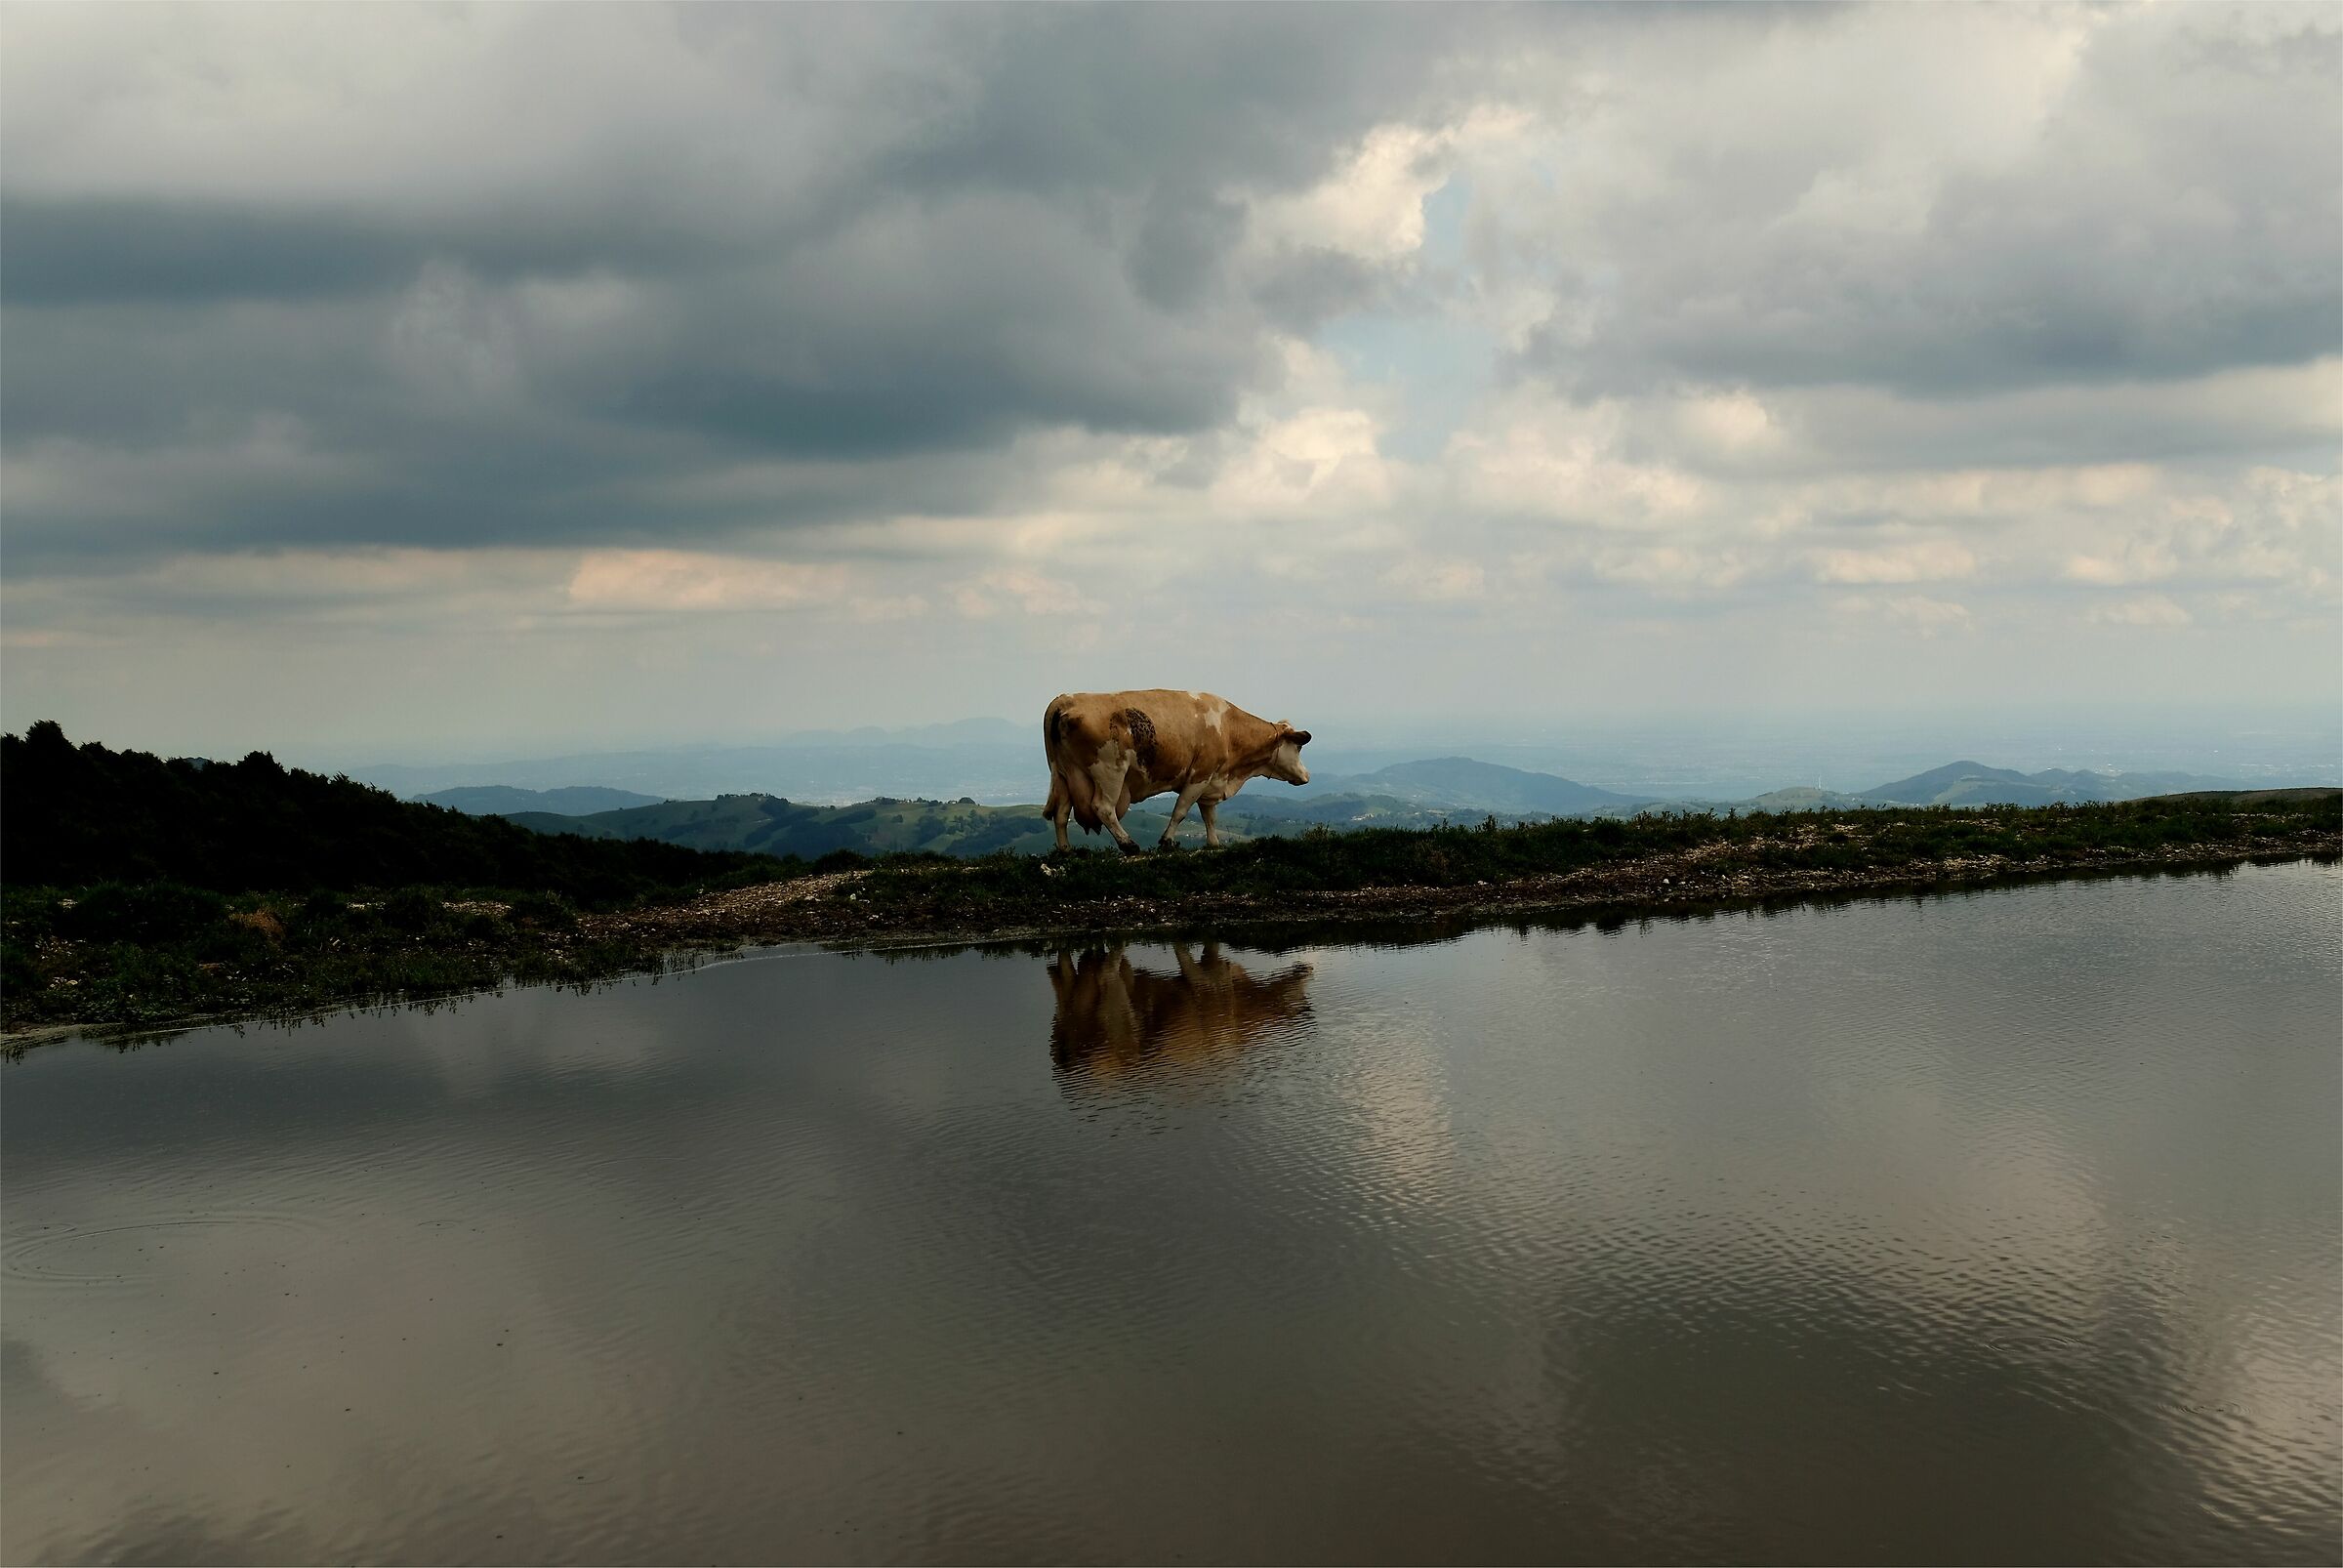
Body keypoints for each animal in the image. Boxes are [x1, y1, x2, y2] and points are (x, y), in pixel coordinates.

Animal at [1040, 689, 1311, 853]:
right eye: (1298, 746)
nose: (1306, 776)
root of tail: (1063, 700)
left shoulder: (1211, 779)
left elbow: (1209, 816)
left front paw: (1213, 843)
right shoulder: (1200, 774)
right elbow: (1181, 810)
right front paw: (1167, 841)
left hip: (1063, 773)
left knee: (1061, 812)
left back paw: (1066, 851)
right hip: (1110, 771)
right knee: (1103, 808)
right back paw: (1128, 844)